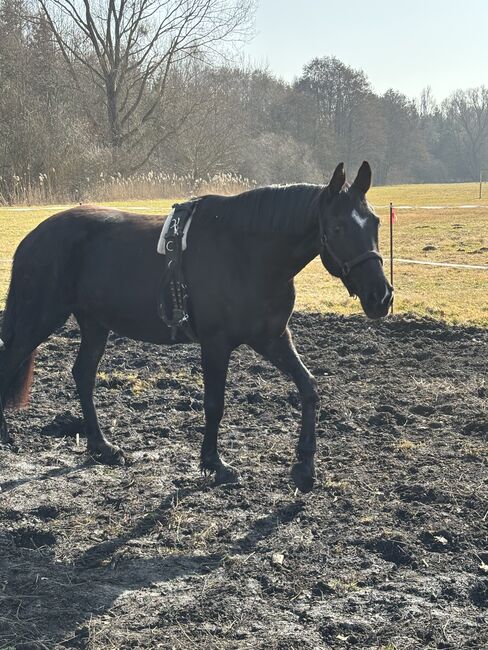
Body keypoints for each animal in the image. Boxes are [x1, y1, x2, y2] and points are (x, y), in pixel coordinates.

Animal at [0, 163, 390, 492]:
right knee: (12, 361)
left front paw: (305, 467)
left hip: (94, 324)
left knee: (83, 374)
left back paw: (102, 446)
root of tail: (35, 237)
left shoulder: (273, 338)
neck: (248, 253)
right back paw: (7, 436)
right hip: (39, 318)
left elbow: (309, 387)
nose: (381, 296)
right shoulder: (216, 344)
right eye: (338, 227)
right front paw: (214, 463)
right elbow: (215, 403)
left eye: (374, 222)